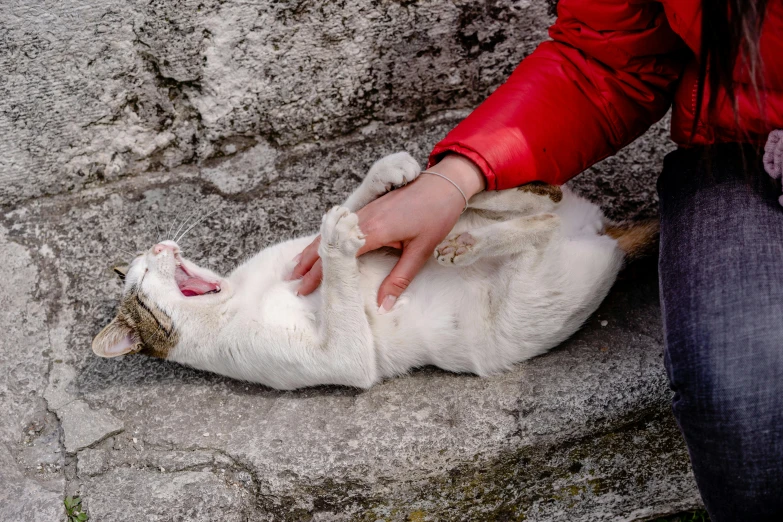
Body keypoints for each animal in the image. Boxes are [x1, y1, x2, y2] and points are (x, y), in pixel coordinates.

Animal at [93, 150, 656, 386]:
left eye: (142, 265)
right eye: (141, 281)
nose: (161, 245)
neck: (233, 295)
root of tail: (602, 234)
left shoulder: (294, 261)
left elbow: (342, 218)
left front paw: (382, 178)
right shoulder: (342, 360)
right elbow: (342, 304)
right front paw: (339, 240)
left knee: (541, 200)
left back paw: (467, 187)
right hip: (522, 304)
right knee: (540, 227)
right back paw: (467, 243)